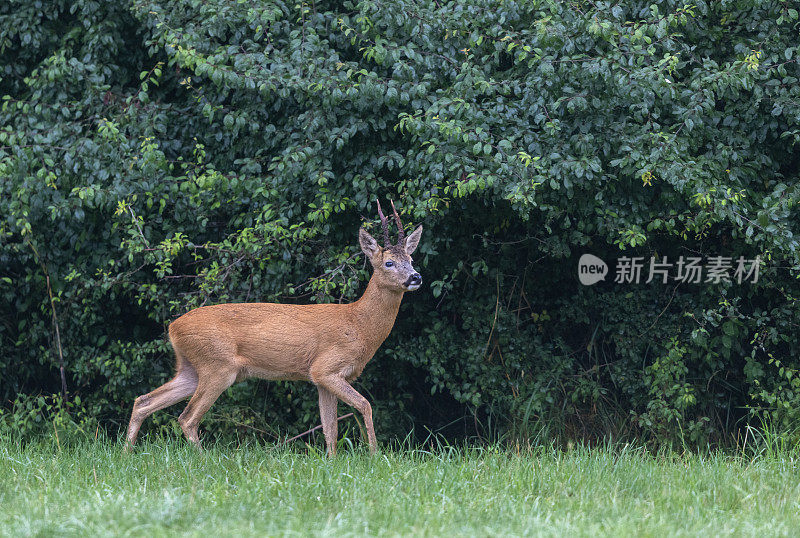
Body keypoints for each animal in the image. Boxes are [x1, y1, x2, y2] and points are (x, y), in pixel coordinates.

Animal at [123, 200, 424, 452]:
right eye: (389, 262)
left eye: (411, 260)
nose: (416, 277)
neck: (359, 324)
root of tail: (173, 328)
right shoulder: (326, 367)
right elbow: (364, 405)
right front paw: (374, 455)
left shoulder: (321, 379)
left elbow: (330, 428)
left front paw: (332, 462)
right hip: (217, 366)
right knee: (187, 417)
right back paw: (203, 458)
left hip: (191, 367)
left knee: (144, 401)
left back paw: (127, 453)